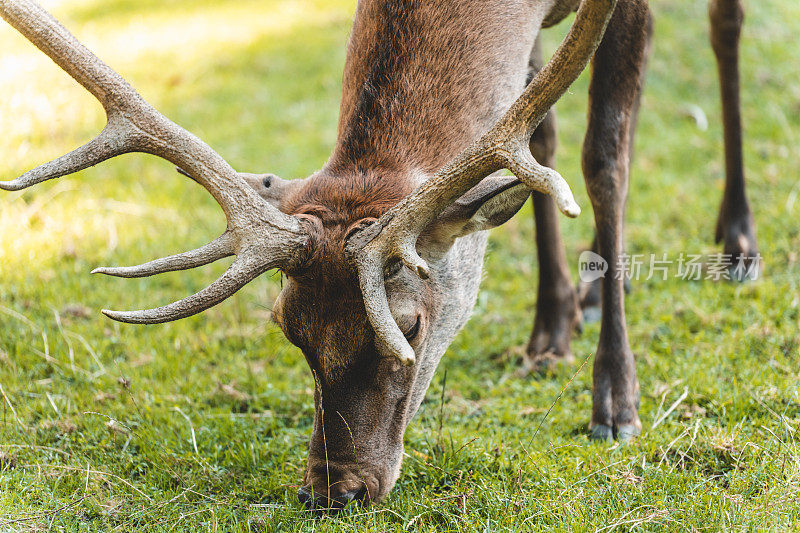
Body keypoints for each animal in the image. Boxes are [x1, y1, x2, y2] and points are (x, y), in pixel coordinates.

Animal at [3, 0, 756, 508]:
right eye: (291, 328)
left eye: (411, 326)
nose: (336, 488)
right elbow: (537, 144)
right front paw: (550, 328)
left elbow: (604, 157)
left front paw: (615, 403)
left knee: (727, 24)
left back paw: (737, 240)